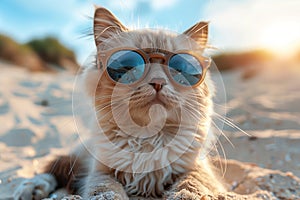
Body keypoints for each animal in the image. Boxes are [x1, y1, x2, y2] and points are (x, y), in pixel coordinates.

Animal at [13, 5, 225, 199]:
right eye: (130, 66)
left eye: (179, 68)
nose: (158, 82)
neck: (147, 139)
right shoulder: (100, 172)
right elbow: (107, 190)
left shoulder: (197, 168)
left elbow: (190, 186)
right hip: (79, 156)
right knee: (50, 170)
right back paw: (31, 189)